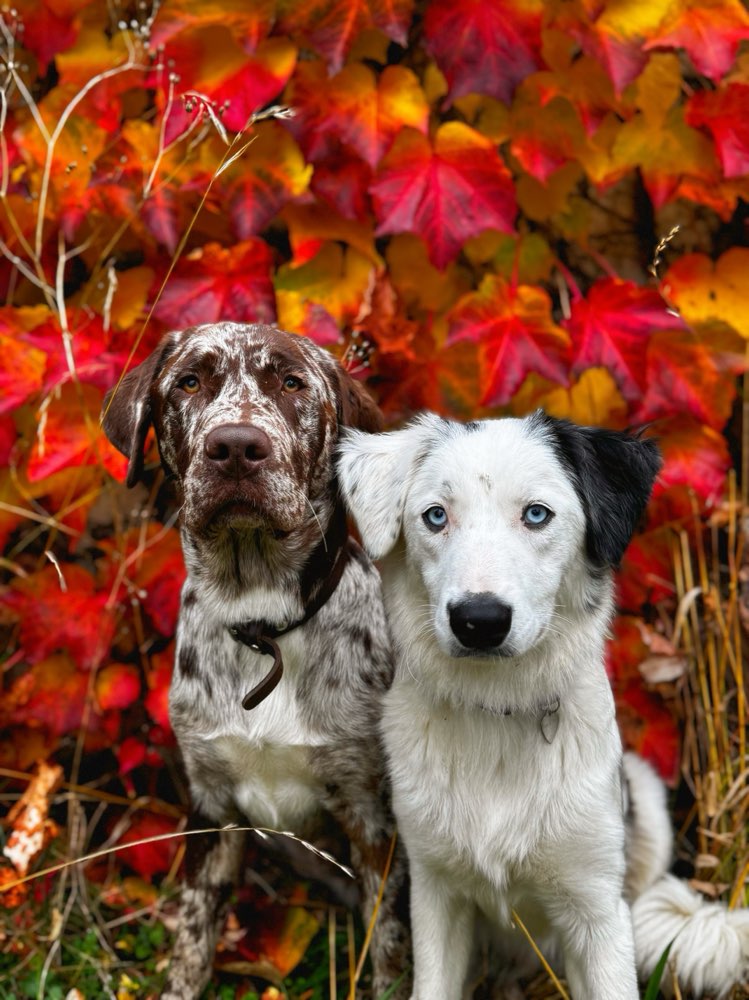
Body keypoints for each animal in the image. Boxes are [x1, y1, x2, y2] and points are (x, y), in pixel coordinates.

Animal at [101, 324, 410, 996]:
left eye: (292, 383)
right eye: (189, 381)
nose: (237, 447)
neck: (261, 625)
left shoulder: (374, 818)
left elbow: (392, 952)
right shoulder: (210, 809)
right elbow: (192, 941)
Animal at [338, 412, 748, 1000]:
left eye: (536, 514)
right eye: (436, 516)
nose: (479, 621)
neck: (497, 712)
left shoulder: (598, 910)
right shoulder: (436, 893)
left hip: (644, 798)